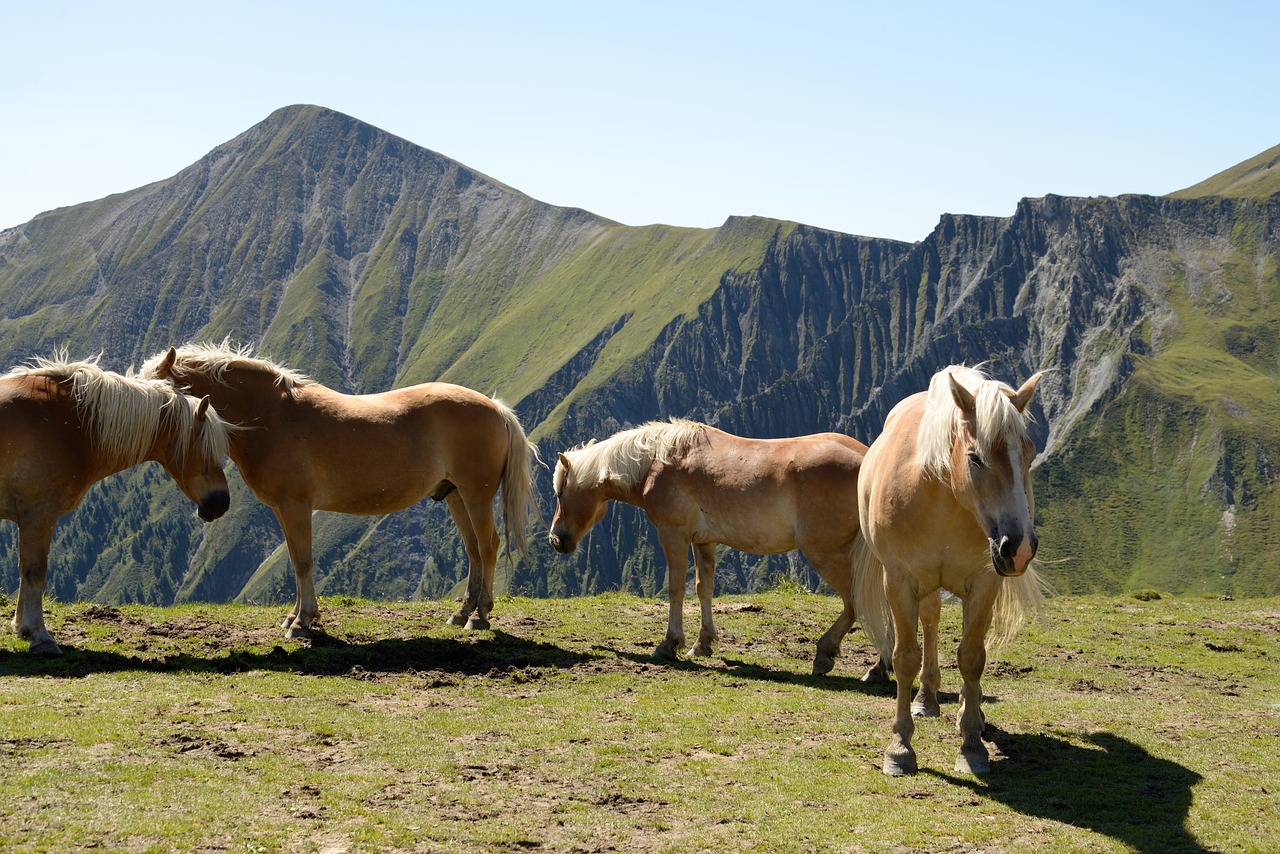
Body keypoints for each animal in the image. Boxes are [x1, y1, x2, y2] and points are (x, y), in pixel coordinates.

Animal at [2, 353, 231, 655]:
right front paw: (39, 634)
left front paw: (22, 628)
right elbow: (34, 571)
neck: (69, 425)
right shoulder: (39, 514)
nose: (222, 502)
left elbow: (24, 571)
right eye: (206, 449)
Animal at [142, 340, 542, 635]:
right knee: (473, 549)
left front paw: (303, 622)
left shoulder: (296, 505)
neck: (271, 416)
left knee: (488, 547)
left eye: (163, 395)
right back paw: (462, 613)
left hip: (476, 495)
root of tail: (496, 408)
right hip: (456, 495)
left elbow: (303, 561)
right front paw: (295, 616)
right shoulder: (283, 509)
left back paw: (480, 616)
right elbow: (295, 560)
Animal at [545, 419, 885, 681]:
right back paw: (878, 668)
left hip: (825, 554)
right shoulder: (703, 542)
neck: (656, 462)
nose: (556, 539)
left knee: (857, 602)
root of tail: (868, 459)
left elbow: (676, 589)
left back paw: (831, 655)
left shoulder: (673, 535)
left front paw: (670, 644)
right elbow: (703, 589)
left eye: (560, 492)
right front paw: (702, 644)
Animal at [855, 363, 1044, 778]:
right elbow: (905, 657)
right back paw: (926, 699)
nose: (1019, 547)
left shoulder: (986, 583)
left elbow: (972, 658)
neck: (941, 497)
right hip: (924, 586)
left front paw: (972, 745)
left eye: (1030, 454)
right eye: (975, 458)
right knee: (930, 621)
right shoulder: (899, 581)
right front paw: (900, 748)